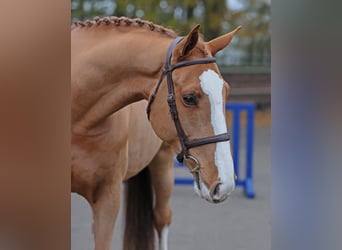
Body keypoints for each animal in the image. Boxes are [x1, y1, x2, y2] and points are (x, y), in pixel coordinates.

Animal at [71, 16, 240, 250]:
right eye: (189, 98)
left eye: (226, 91)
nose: (225, 183)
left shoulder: (108, 198)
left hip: (163, 164)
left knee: (161, 218)